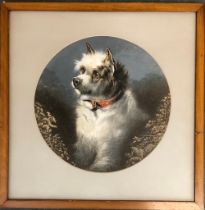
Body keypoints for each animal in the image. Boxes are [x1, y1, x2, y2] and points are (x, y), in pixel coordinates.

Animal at [71, 42, 147, 172]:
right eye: (82, 70)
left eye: (96, 74)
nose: (75, 80)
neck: (98, 109)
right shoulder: (84, 142)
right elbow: (81, 156)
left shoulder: (109, 146)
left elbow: (103, 162)